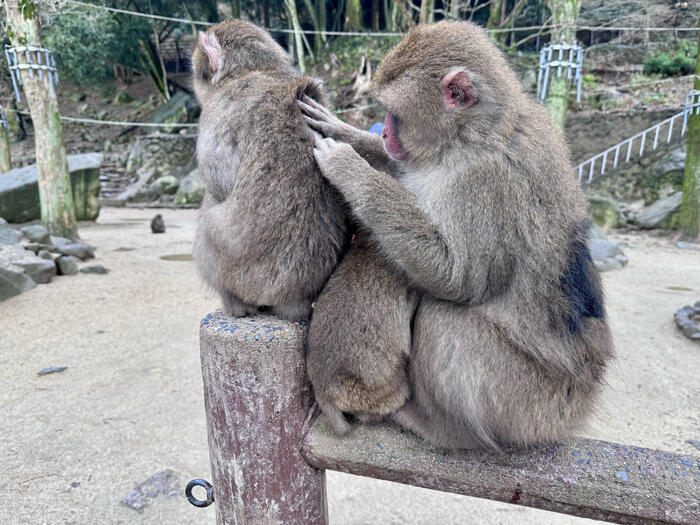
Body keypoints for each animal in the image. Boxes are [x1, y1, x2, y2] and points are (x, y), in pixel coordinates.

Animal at [190, 20, 350, 322]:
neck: (254, 69)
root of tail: (295, 300)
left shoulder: (217, 112)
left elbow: (218, 183)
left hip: (239, 272)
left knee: (206, 222)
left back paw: (236, 306)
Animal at [300, 21, 612, 450]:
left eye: (396, 114)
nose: (386, 135)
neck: (469, 136)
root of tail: (583, 400)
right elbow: (402, 172)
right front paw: (347, 133)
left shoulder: (487, 182)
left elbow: (458, 279)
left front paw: (348, 167)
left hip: (529, 406)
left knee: (443, 314)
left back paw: (439, 428)